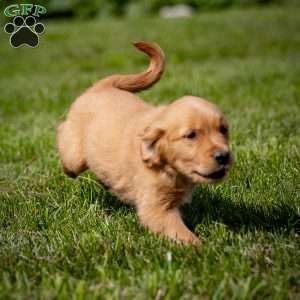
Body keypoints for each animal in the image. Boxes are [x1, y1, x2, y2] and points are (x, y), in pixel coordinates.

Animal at [57, 41, 233, 244]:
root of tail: (103, 86)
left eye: (223, 130)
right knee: (63, 137)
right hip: (75, 155)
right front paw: (204, 248)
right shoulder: (156, 208)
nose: (224, 156)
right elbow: (184, 235)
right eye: (191, 135)